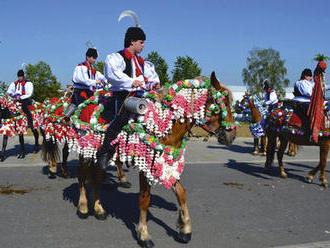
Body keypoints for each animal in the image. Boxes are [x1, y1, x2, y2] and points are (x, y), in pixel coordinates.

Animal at [60, 72, 237, 248]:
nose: (231, 136)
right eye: (220, 105)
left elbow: (181, 193)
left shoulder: (166, 162)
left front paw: (185, 229)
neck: (166, 125)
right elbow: (144, 200)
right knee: (82, 177)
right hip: (85, 151)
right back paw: (83, 207)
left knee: (96, 179)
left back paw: (99, 209)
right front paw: (144, 235)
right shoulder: (145, 167)